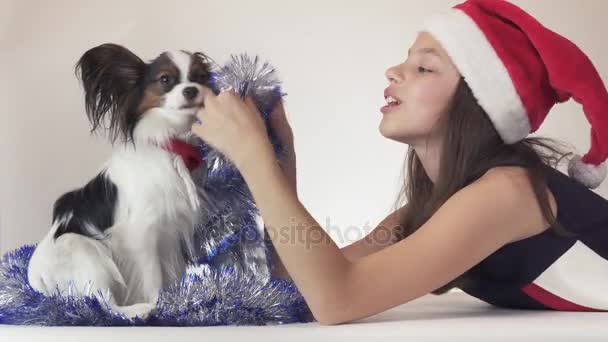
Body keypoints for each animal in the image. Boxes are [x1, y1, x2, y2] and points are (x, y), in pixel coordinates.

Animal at [27, 44, 214, 320]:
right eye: (165, 80)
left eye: (200, 77)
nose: (191, 90)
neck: (167, 144)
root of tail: (35, 278)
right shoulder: (142, 236)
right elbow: (153, 278)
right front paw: (160, 306)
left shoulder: (168, 235)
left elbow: (172, 272)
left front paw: (178, 301)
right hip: (86, 251)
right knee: (101, 304)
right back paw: (139, 310)